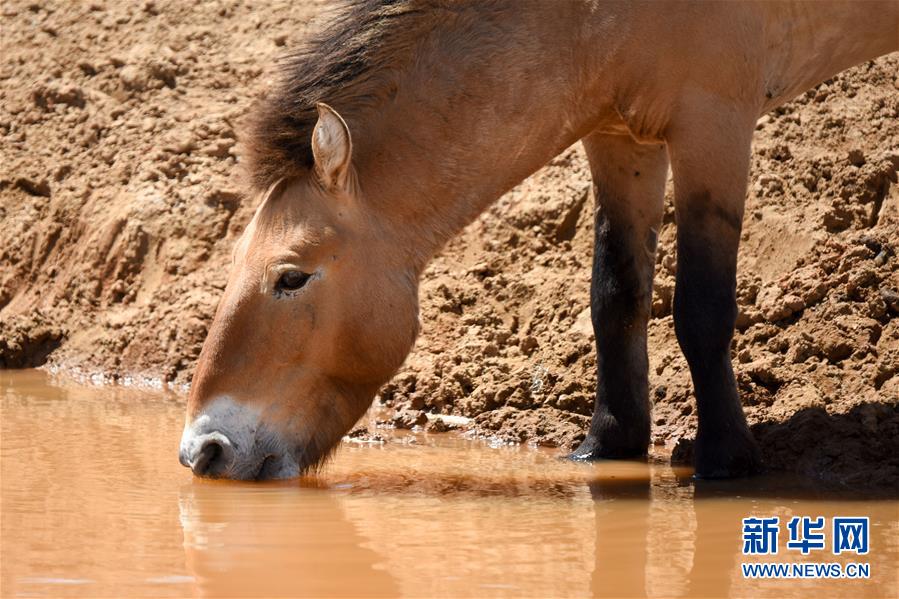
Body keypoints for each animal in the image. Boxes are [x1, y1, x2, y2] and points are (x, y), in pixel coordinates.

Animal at [179, 0, 899, 480]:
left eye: (291, 276)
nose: (202, 450)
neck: (589, 18)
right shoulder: (620, 137)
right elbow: (615, 295)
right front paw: (608, 443)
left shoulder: (714, 121)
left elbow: (701, 309)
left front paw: (725, 458)